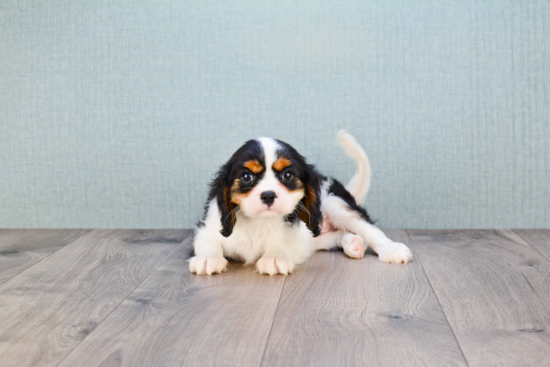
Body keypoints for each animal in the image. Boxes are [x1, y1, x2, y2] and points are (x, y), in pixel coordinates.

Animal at [192, 131, 412, 274]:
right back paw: (353, 243)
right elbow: (208, 242)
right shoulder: (208, 228)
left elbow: (282, 243)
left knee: (367, 227)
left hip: (334, 204)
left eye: (287, 175)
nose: (268, 195)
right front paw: (208, 258)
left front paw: (274, 257)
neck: (260, 222)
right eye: (247, 177)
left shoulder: (295, 238)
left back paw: (390, 249)